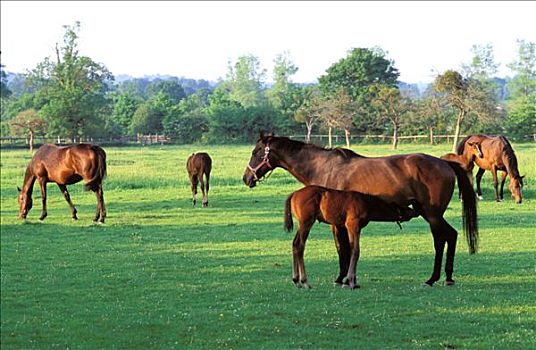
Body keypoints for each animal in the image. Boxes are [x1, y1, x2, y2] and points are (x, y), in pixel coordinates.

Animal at [284, 186, 418, 290]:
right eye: (406, 209)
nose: (416, 211)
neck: (367, 203)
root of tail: (293, 194)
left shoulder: (355, 228)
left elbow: (352, 249)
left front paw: (350, 281)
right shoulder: (352, 225)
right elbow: (355, 250)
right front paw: (351, 282)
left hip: (302, 224)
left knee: (295, 243)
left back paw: (296, 280)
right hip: (306, 222)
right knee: (300, 245)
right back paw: (304, 281)